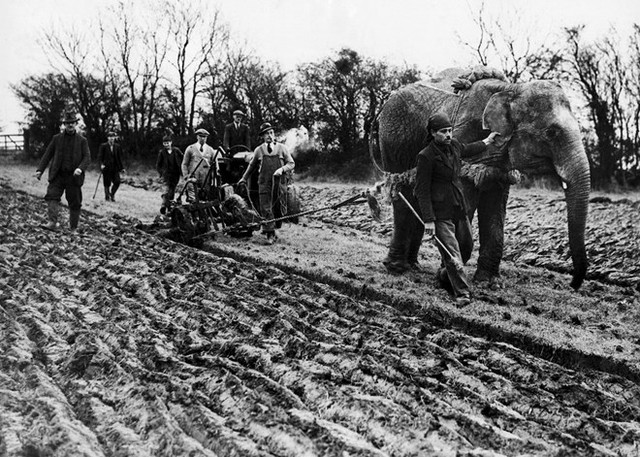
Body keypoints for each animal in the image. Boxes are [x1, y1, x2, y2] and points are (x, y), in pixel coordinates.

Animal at [370, 67, 592, 288]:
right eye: (552, 132)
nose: (572, 284)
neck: (512, 89)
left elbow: (495, 205)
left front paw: (488, 282)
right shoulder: (465, 133)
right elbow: (463, 201)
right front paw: (447, 277)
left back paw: (413, 266)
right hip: (393, 143)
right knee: (402, 196)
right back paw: (397, 268)